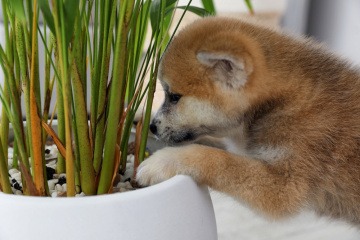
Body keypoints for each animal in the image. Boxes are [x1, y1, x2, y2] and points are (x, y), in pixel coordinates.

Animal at [136, 16, 360, 225]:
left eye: (174, 97)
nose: (152, 126)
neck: (277, 103)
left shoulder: (283, 186)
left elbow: (217, 159)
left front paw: (164, 161)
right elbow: (214, 147)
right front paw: (139, 115)